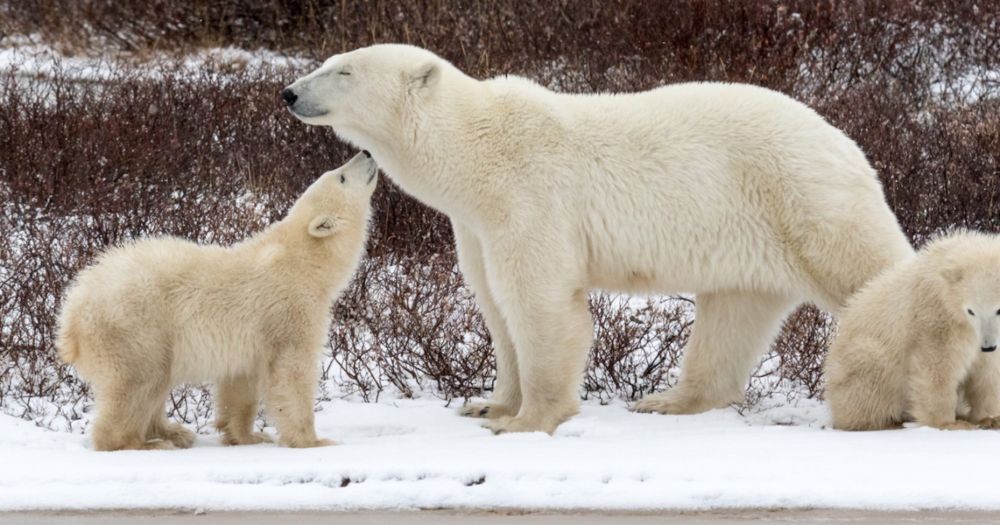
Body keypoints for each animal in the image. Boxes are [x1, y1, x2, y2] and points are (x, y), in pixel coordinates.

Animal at [284, 43, 916, 432]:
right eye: (328, 60)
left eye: (344, 70)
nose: (289, 93)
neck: (477, 153)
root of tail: (848, 142)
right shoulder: (477, 225)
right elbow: (495, 305)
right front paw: (488, 404)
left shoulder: (530, 197)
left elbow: (539, 302)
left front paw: (528, 420)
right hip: (750, 237)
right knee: (733, 315)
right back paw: (667, 401)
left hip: (804, 201)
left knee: (871, 275)